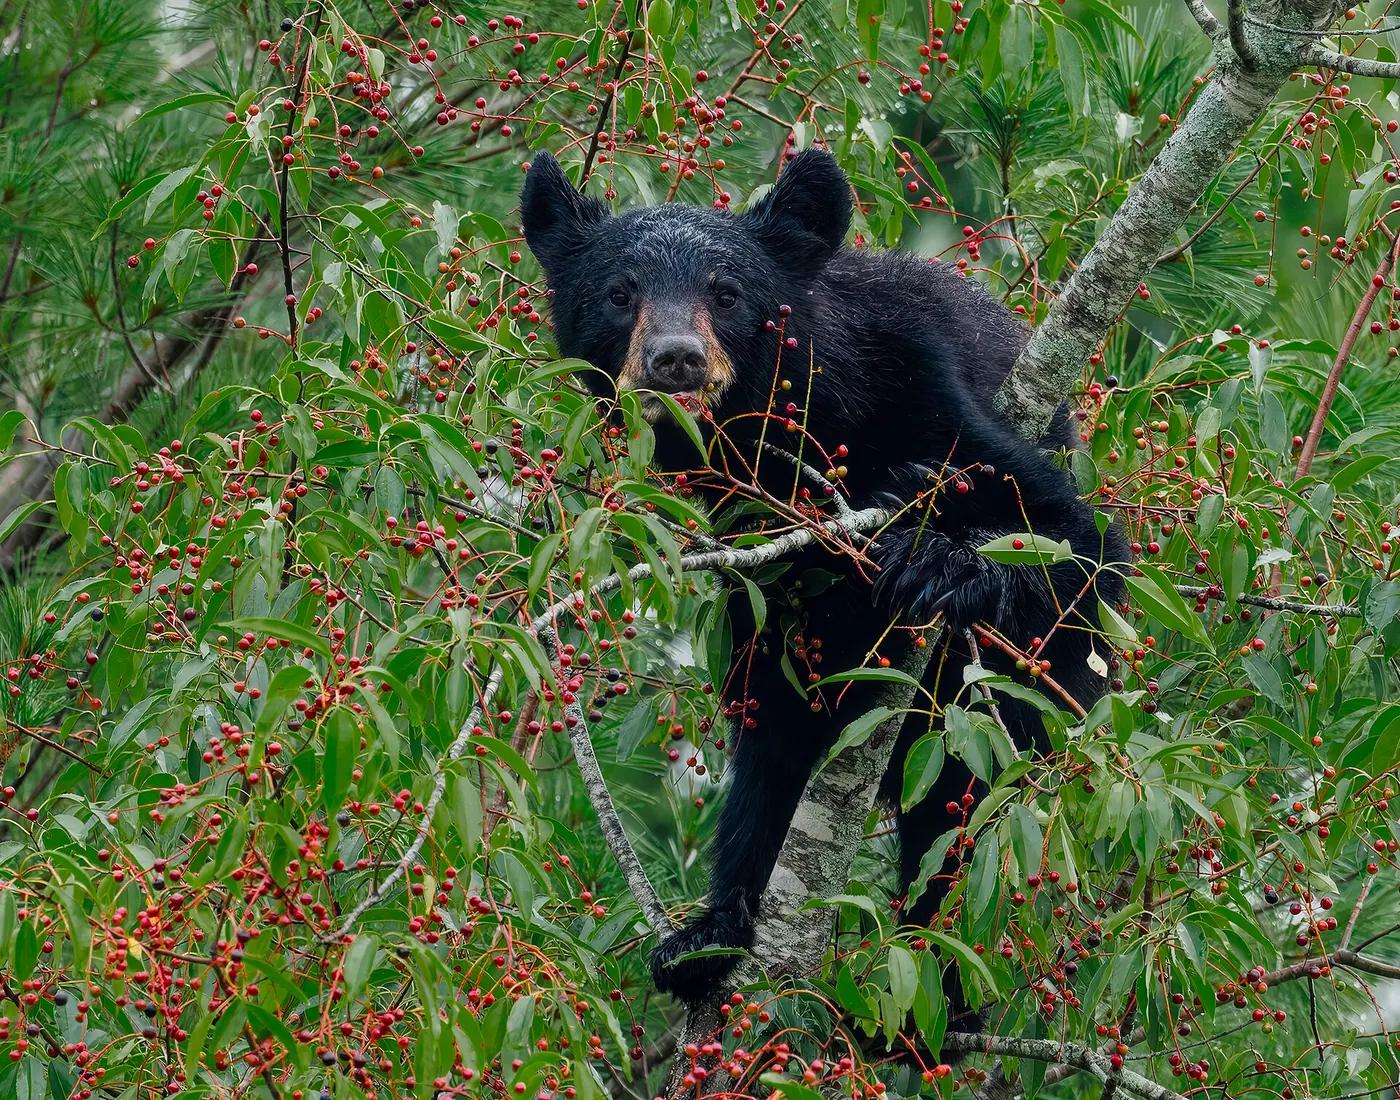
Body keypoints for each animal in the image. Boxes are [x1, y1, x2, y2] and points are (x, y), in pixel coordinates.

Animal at [520, 148, 1129, 1014]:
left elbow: (1081, 545)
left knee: (962, 798)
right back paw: (710, 939)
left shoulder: (924, 379)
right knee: (774, 745)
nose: (676, 357)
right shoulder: (757, 552)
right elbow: (775, 713)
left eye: (727, 292)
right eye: (619, 292)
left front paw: (944, 558)